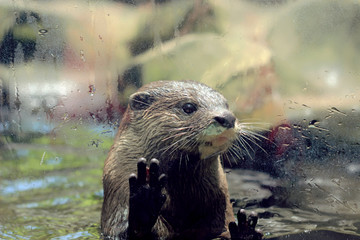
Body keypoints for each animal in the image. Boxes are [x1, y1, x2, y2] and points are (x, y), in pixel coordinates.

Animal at [101, 80, 262, 240]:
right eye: (189, 107)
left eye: (226, 105)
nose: (228, 118)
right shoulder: (119, 184)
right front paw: (145, 197)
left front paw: (245, 232)